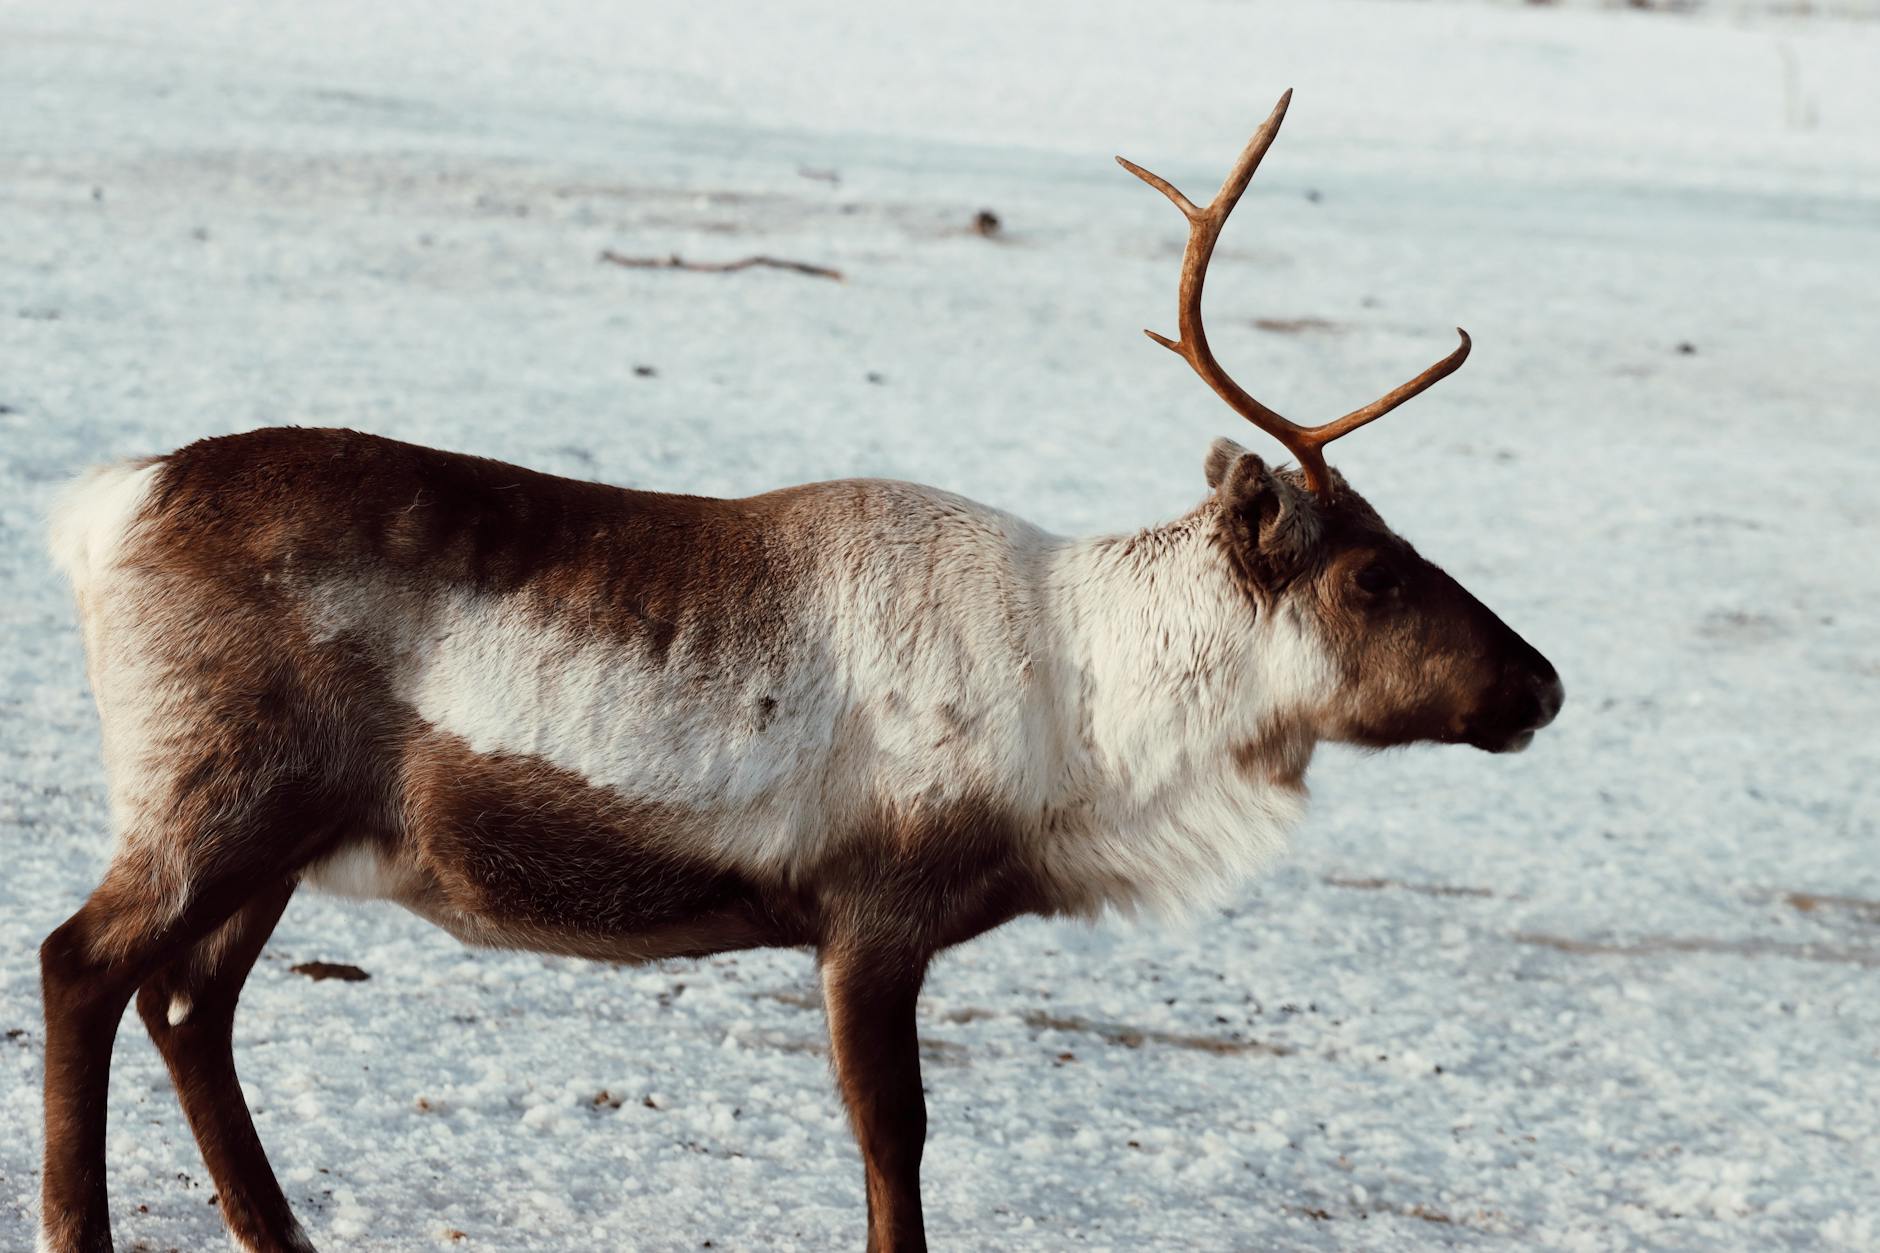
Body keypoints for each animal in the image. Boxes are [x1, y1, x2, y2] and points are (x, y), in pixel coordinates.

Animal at [37, 90, 1561, 1253]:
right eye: (1371, 574)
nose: (1543, 687)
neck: (1087, 711)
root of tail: (112, 504)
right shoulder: (872, 913)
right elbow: (895, 1143)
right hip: (214, 795)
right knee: (84, 964)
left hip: (278, 834)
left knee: (189, 1005)